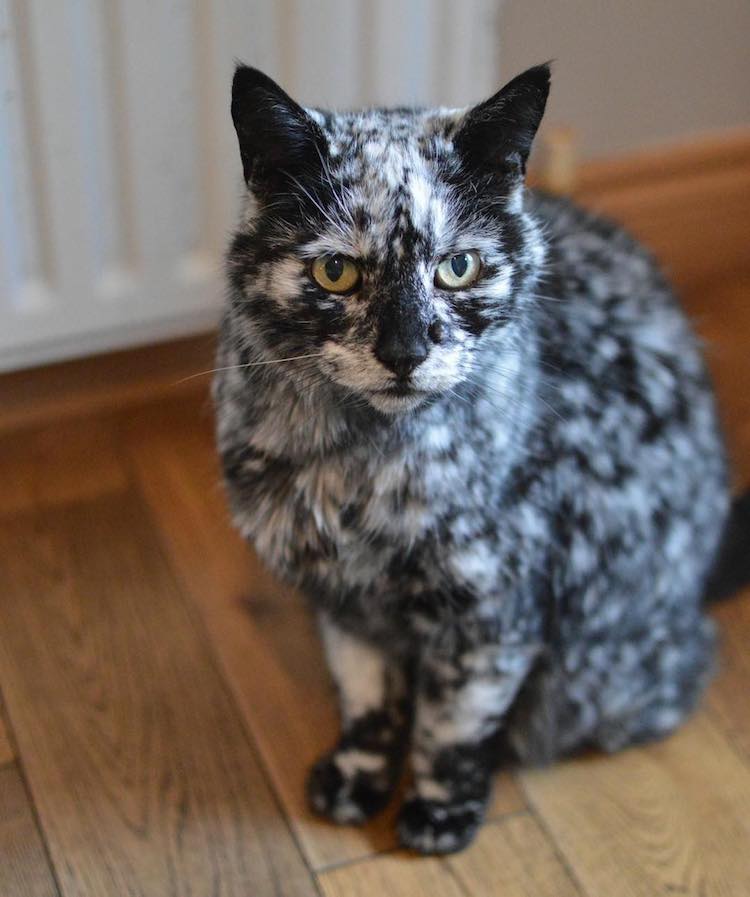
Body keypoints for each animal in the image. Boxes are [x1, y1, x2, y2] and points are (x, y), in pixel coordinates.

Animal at [214, 65, 748, 856]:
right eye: (336, 272)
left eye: (458, 267)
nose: (405, 350)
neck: (362, 476)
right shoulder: (345, 605)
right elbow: (368, 701)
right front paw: (358, 778)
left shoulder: (494, 616)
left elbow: (452, 726)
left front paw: (439, 814)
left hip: (605, 674)